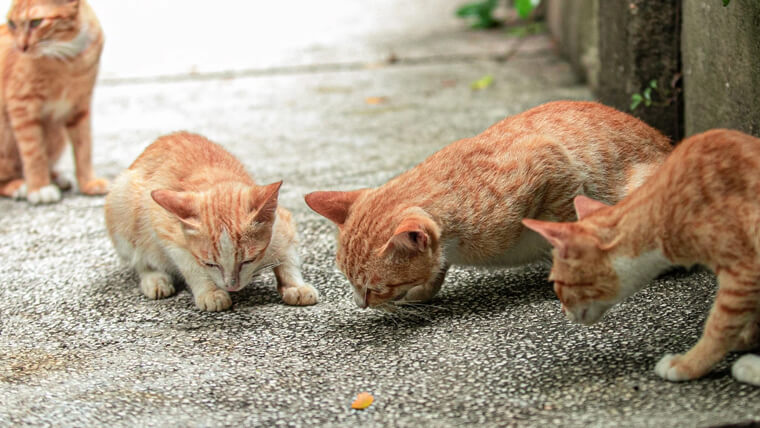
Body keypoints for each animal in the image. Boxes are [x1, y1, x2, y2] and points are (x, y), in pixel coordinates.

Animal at [0, 0, 107, 204]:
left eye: (36, 22)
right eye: (12, 24)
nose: (21, 47)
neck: (68, 57)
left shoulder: (80, 107)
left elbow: (84, 147)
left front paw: (88, 182)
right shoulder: (22, 107)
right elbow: (34, 152)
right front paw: (39, 187)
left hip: (57, 135)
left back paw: (56, 178)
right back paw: (19, 185)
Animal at [104, 132, 318, 312]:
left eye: (248, 260)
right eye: (210, 264)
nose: (232, 286)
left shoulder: (283, 223)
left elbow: (288, 257)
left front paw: (294, 285)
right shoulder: (167, 230)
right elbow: (191, 267)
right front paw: (209, 292)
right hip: (121, 201)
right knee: (139, 260)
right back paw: (154, 278)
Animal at [302, 102, 672, 310]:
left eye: (375, 289)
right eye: (349, 282)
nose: (360, 306)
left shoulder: (551, 162)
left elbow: (566, 225)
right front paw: (425, 287)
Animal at [524, 129, 760, 386]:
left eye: (556, 283)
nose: (562, 312)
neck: (662, 212)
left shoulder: (745, 269)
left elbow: (718, 326)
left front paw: (689, 364)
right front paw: (746, 337)